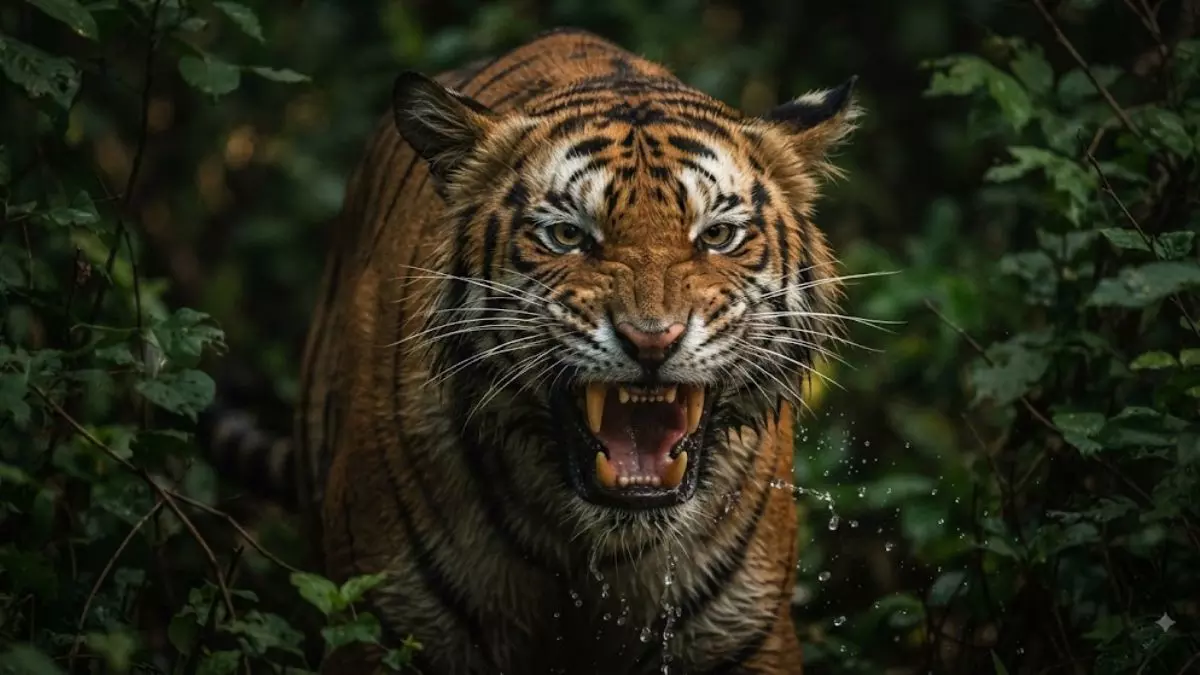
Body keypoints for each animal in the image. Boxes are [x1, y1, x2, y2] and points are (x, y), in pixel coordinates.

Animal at [202, 27, 860, 675]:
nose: (653, 339)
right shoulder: (377, 625)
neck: (598, 546)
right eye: (567, 235)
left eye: (718, 235)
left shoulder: (748, 637)